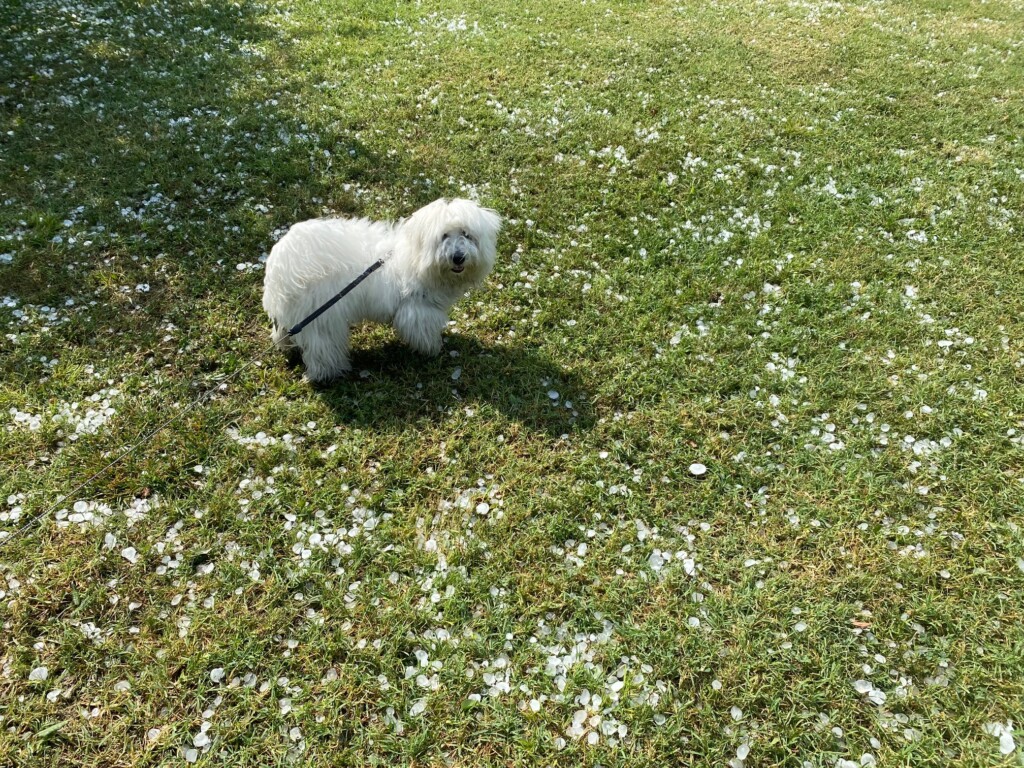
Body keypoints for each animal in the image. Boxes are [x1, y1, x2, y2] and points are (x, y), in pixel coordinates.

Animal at [262, 196, 501, 380]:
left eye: (466, 235)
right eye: (443, 236)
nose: (458, 257)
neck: (419, 258)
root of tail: (284, 261)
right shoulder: (417, 309)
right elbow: (422, 330)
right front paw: (432, 349)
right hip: (321, 317)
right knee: (322, 346)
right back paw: (327, 373)